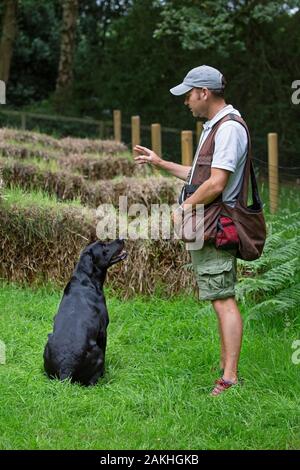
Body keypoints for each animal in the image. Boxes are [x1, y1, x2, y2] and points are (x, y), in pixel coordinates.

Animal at [43, 239, 126, 386]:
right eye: (103, 245)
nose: (121, 238)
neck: (86, 280)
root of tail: (66, 370)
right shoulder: (103, 331)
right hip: (97, 353)